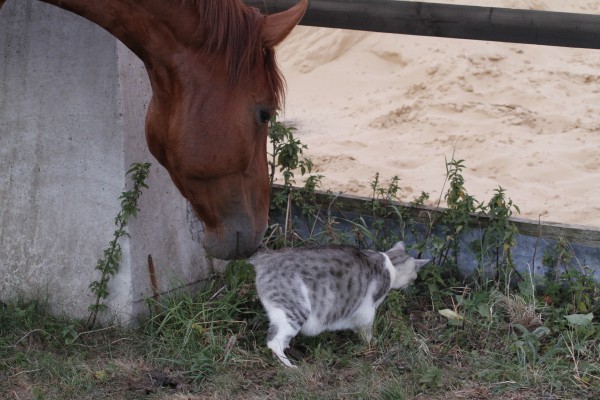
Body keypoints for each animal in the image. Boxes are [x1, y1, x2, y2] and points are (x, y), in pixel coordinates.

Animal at [246, 242, 428, 368]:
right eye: (414, 275)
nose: (413, 283)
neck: (389, 264)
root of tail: (266, 257)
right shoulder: (367, 311)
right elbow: (367, 332)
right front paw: (373, 343)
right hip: (295, 311)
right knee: (273, 342)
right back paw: (290, 366)